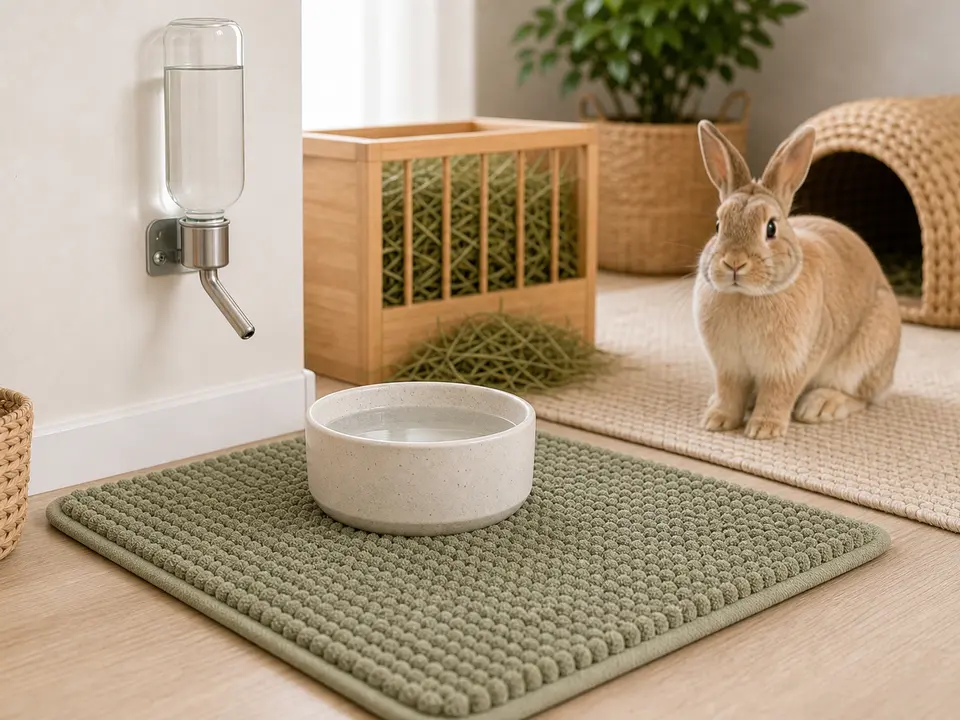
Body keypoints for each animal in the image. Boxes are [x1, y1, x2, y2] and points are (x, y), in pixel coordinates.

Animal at [692, 119, 902, 440]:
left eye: (771, 228)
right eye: (718, 225)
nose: (734, 263)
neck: (746, 296)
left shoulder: (792, 364)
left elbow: (778, 394)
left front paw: (763, 430)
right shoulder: (728, 366)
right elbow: (729, 392)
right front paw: (717, 420)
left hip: (865, 356)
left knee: (862, 396)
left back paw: (821, 405)